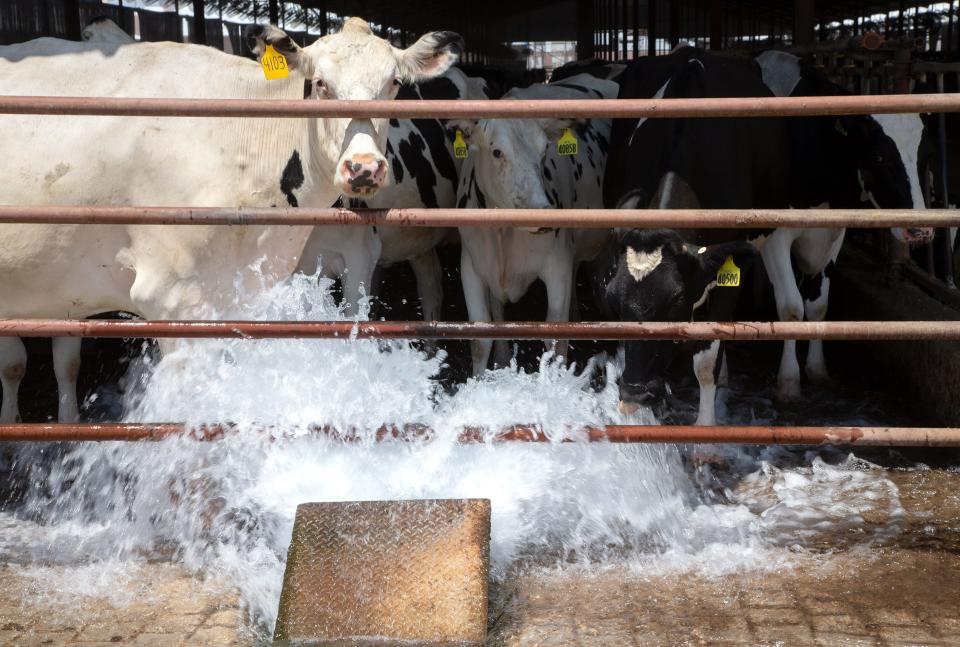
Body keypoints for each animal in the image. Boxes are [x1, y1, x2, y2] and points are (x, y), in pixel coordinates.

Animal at [450, 72, 616, 374]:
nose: (541, 211)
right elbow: (480, 338)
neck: (504, 235)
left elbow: (556, 340)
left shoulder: (558, 264)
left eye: (544, 151)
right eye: (497, 152)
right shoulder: (471, 264)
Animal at [608, 49, 928, 426]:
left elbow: (816, 305)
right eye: (880, 156)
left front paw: (815, 370)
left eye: (922, 159)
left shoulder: (832, 231)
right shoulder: (775, 235)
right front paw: (788, 382)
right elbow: (790, 307)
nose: (920, 228)